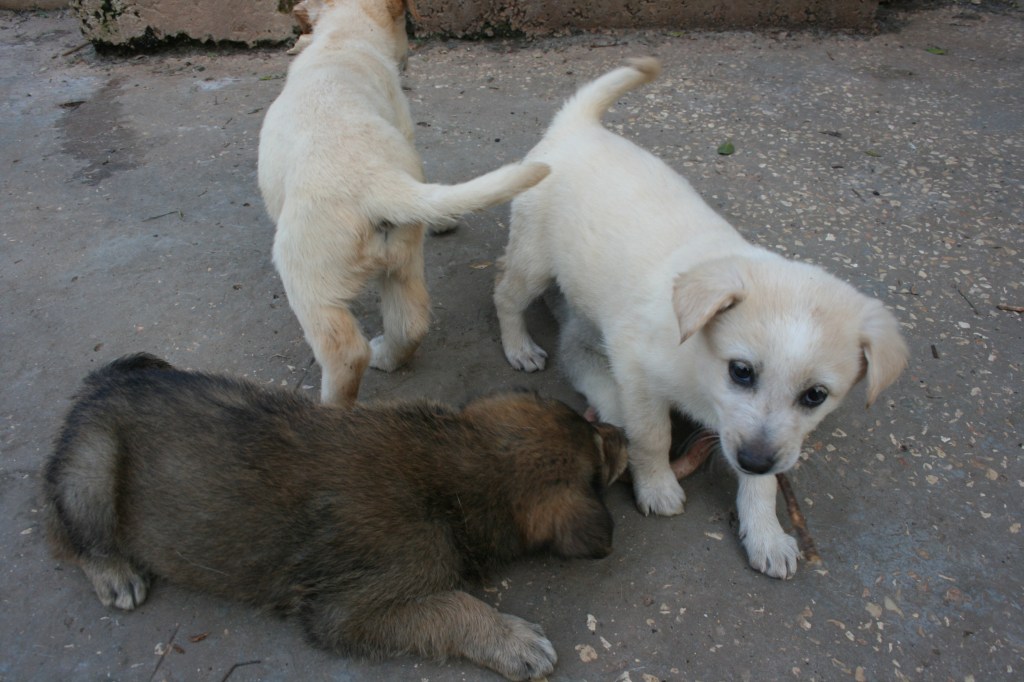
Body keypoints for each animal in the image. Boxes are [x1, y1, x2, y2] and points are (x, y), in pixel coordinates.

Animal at [44, 352, 626, 675]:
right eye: (599, 462)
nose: (623, 431)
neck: (456, 471)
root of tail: (105, 380)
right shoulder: (349, 610)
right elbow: (453, 609)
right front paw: (513, 641)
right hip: (91, 463)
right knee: (73, 528)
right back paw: (115, 573)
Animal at [260, 0, 552, 403]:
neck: (343, 40)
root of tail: (376, 181)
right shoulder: (406, 129)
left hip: (308, 277)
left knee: (346, 353)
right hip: (403, 258)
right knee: (410, 323)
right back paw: (386, 357)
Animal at [491, 59, 909, 577]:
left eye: (815, 395)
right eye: (741, 371)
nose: (752, 460)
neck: (700, 368)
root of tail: (579, 125)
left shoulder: (759, 440)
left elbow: (764, 483)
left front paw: (766, 532)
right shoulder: (636, 374)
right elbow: (652, 436)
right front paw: (657, 486)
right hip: (534, 259)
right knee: (506, 293)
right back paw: (518, 345)